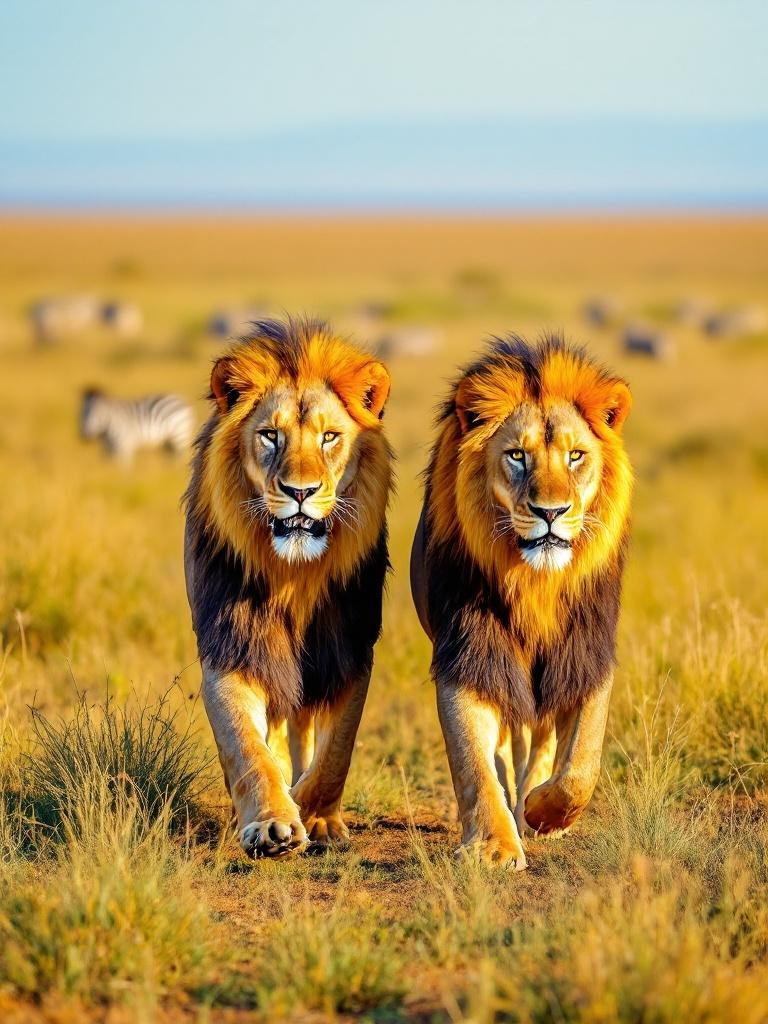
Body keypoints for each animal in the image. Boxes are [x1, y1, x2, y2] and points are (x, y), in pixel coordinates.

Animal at [184, 315, 393, 860]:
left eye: (330, 438)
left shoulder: (350, 652)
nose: (301, 492)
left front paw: (316, 816)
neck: (295, 575)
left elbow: (336, 751)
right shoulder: (232, 650)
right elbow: (248, 748)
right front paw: (272, 823)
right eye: (270, 436)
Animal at [411, 333, 634, 864]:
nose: (550, 512)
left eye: (575, 456)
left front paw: (545, 813)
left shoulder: (586, 653)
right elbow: (474, 761)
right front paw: (493, 847)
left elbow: (582, 764)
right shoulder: (469, 655)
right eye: (516, 456)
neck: (535, 583)